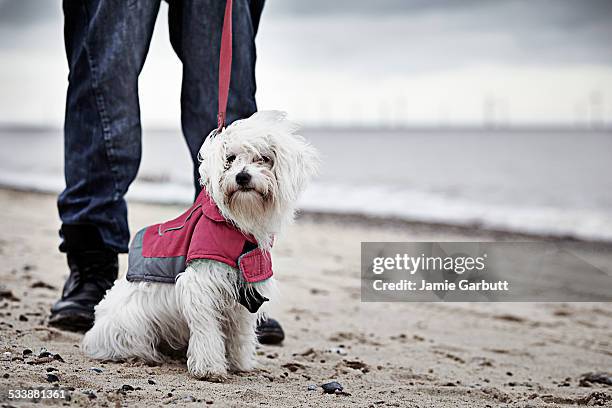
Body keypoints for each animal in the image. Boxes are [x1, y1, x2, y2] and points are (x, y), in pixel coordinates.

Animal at [81, 111, 318, 380]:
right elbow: (207, 329)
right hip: (130, 324)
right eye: (230, 158)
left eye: (264, 158)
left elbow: (240, 330)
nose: (242, 176)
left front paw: (239, 362)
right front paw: (209, 368)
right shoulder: (202, 284)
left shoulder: (246, 289)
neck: (238, 224)